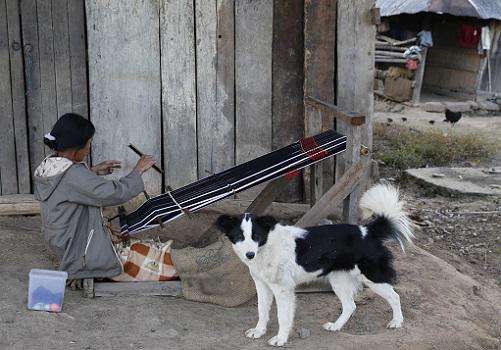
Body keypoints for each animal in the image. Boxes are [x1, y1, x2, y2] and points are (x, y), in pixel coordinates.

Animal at [216, 185, 414, 346]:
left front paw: (280, 339)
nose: (249, 254)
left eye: (256, 236)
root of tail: (368, 231)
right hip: (339, 281)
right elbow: (262, 311)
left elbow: (283, 317)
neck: (266, 247)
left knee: (395, 297)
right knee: (350, 306)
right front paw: (259, 331)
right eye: (239, 237)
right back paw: (336, 326)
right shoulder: (263, 286)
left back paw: (397, 322)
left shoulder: (283, 289)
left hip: (373, 277)